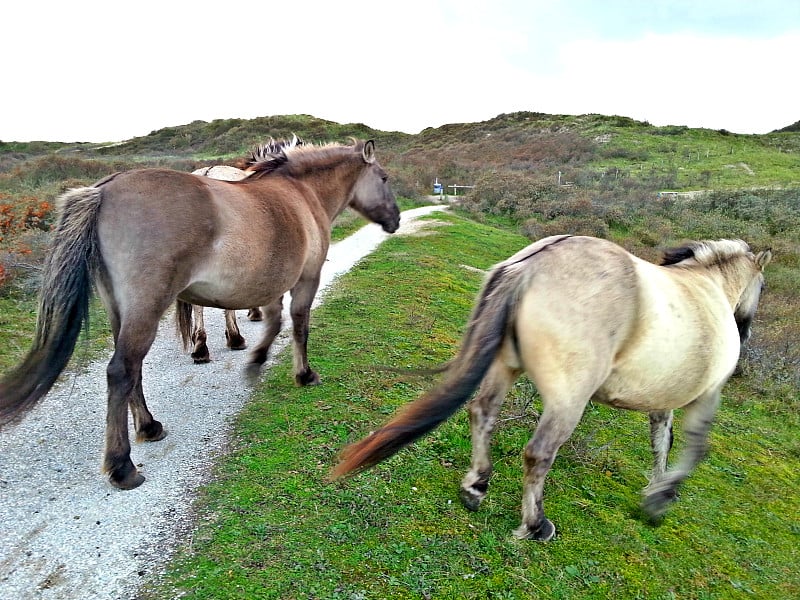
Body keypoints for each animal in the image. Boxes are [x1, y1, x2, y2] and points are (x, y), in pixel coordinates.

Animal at [0, 139, 400, 488]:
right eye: (383, 178)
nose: (395, 220)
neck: (300, 194)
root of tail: (105, 191)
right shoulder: (306, 280)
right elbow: (298, 326)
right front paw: (303, 374)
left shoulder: (270, 286)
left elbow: (274, 323)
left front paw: (256, 360)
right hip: (146, 308)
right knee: (121, 371)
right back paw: (123, 467)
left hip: (120, 311)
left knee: (133, 371)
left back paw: (150, 426)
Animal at [332, 237, 768, 540]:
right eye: (762, 288)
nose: (745, 333)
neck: (707, 289)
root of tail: (531, 265)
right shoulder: (705, 397)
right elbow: (694, 448)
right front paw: (659, 500)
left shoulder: (665, 399)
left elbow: (662, 440)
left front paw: (656, 487)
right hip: (568, 399)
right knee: (539, 453)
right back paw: (535, 525)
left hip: (505, 368)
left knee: (482, 414)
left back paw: (475, 487)